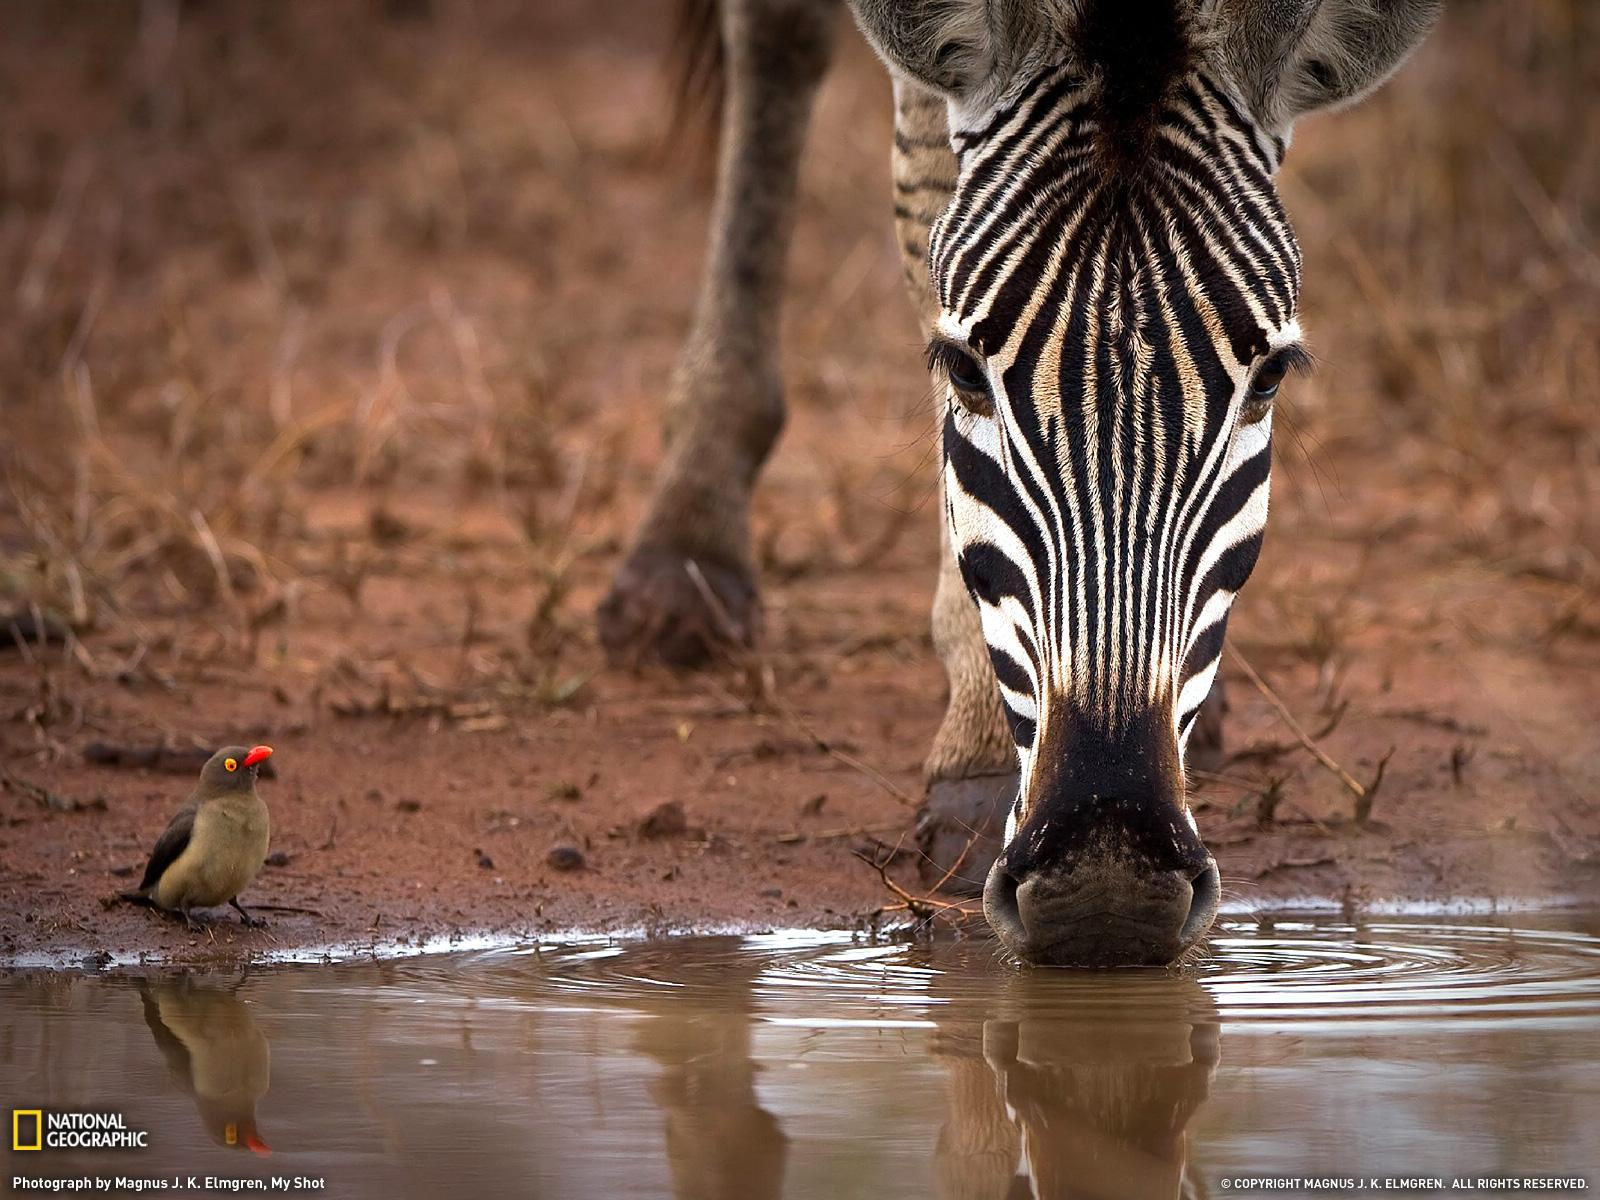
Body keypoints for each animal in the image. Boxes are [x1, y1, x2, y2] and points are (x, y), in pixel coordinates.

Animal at [598, 0, 1440, 966]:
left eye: (1268, 379)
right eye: (963, 368)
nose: (1108, 884)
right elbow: (924, 185)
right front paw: (979, 753)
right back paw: (686, 549)